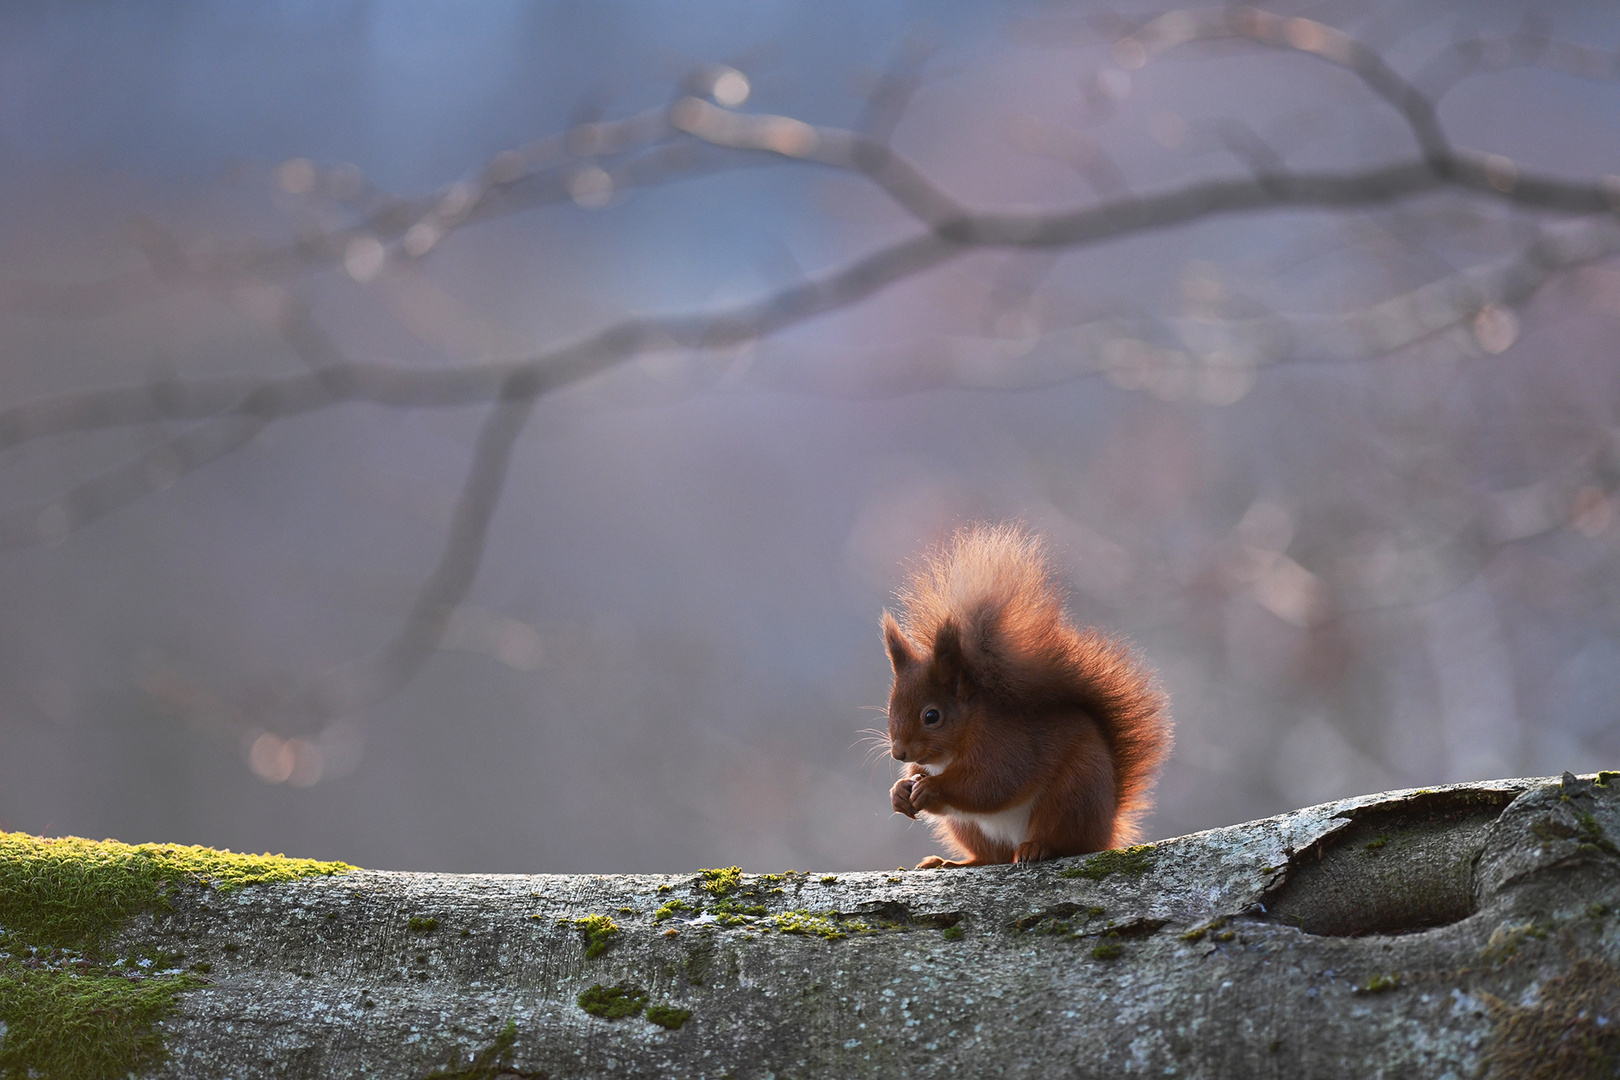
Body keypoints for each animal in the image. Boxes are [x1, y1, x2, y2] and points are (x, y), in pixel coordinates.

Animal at [887, 524, 1166, 867]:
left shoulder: (1007, 746)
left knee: (1063, 842)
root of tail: (1107, 830)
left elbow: (991, 784)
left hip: (1070, 796)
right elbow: (922, 775)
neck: (954, 746)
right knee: (992, 856)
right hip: (969, 828)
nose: (898, 753)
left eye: (931, 716)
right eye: (890, 709)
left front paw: (932, 788)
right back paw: (950, 862)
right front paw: (900, 791)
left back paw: (1037, 848)